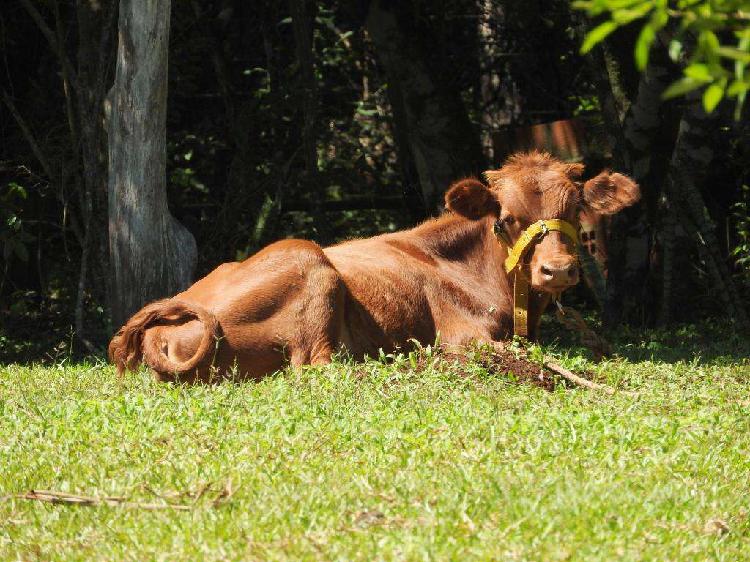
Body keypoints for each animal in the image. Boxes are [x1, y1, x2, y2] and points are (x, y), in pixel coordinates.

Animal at [110, 151, 640, 382]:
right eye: (507, 219)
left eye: (575, 209)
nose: (558, 271)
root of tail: (160, 325)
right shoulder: (464, 336)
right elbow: (540, 368)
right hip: (310, 261)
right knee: (318, 368)